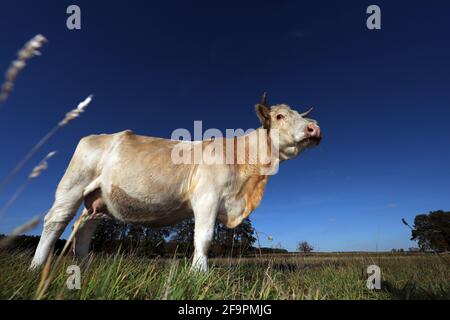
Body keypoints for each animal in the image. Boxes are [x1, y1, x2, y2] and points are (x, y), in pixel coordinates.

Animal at [29, 94, 320, 272]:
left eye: (300, 115)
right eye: (280, 116)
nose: (314, 128)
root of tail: (96, 136)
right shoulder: (207, 198)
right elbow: (203, 236)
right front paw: (199, 272)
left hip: (98, 201)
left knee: (83, 227)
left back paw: (85, 266)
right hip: (72, 186)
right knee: (55, 221)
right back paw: (36, 265)